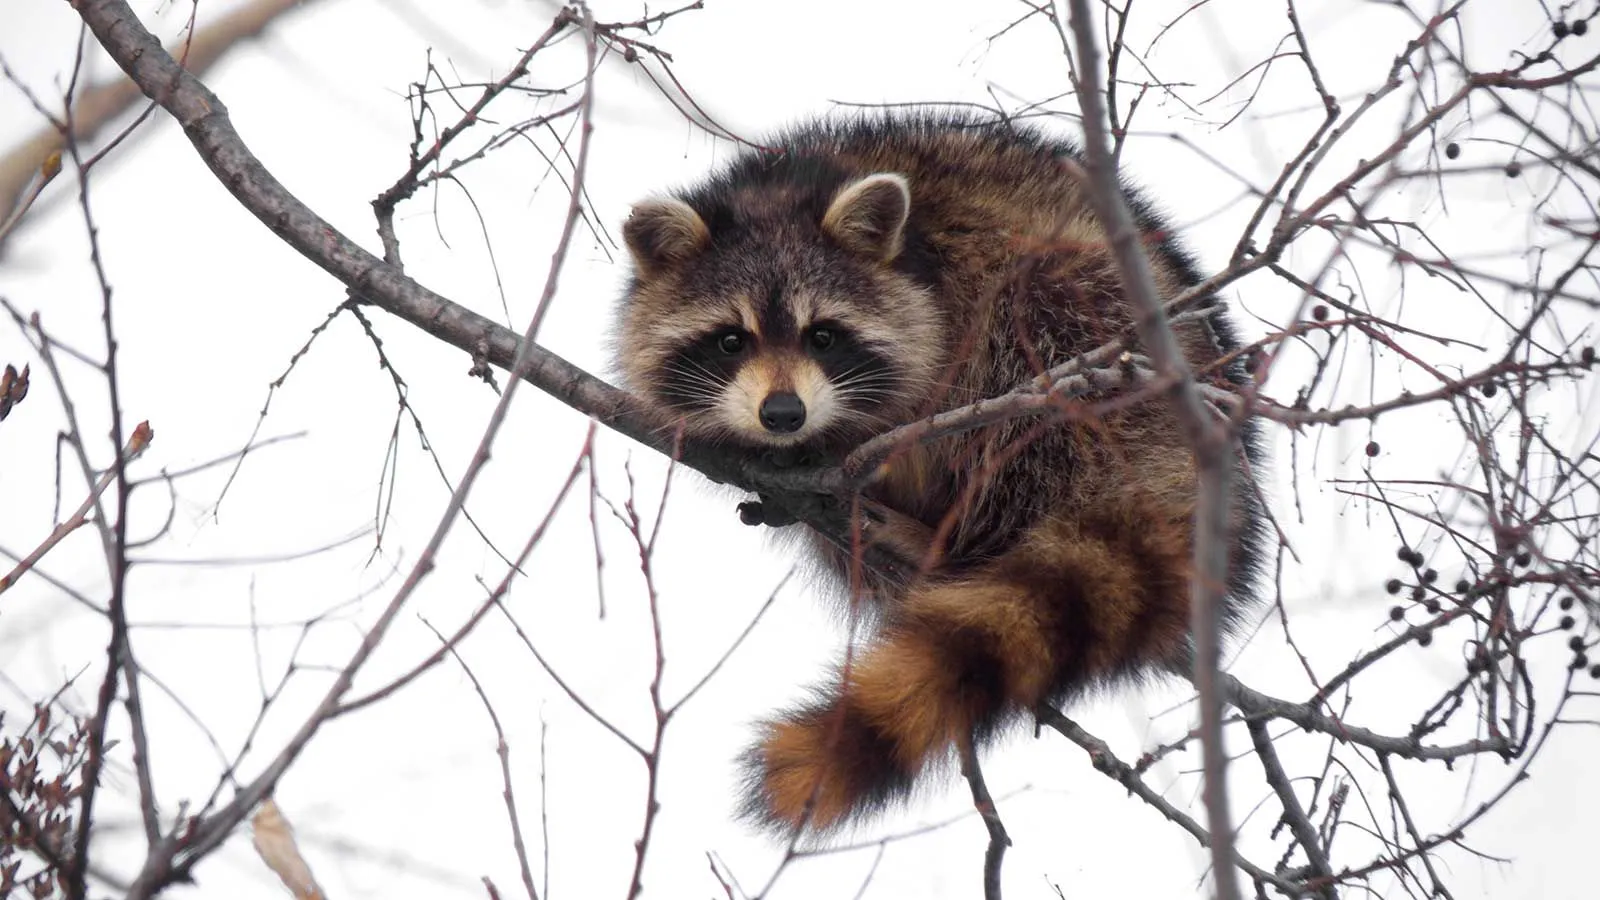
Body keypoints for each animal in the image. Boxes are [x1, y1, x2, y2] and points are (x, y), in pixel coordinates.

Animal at [612, 112, 1264, 834]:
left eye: (823, 336)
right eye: (731, 340)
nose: (783, 414)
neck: (781, 190)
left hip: (1101, 338)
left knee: (1024, 334)